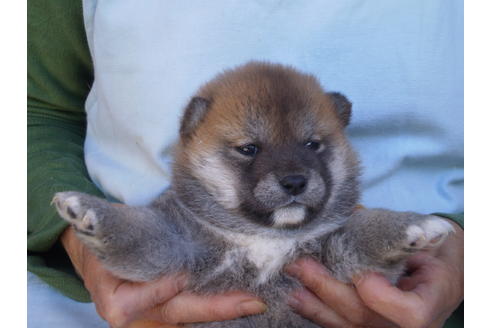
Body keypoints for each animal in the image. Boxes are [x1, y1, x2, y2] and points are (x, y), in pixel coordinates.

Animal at [51, 62, 454, 328]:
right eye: (249, 149)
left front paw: (415, 225)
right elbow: (135, 230)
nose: (294, 182)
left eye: (312, 144)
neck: (264, 237)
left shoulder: (337, 251)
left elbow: (368, 228)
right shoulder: (178, 244)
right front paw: (89, 209)